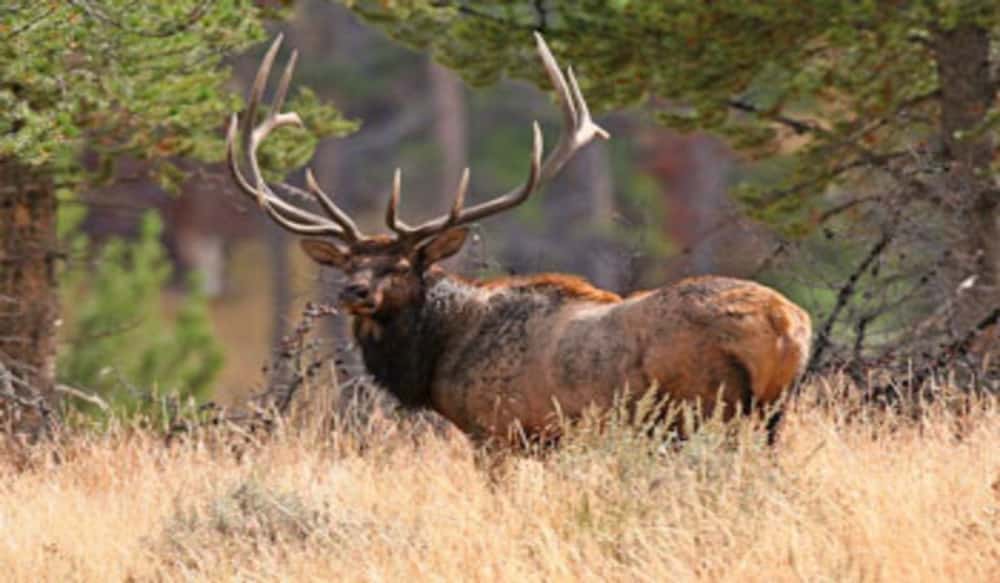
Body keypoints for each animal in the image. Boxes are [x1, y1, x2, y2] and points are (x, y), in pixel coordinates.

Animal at [226, 34, 813, 445]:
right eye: (348, 263)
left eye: (402, 264)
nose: (355, 292)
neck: (440, 357)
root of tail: (787, 324)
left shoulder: (500, 431)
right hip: (774, 414)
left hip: (707, 408)